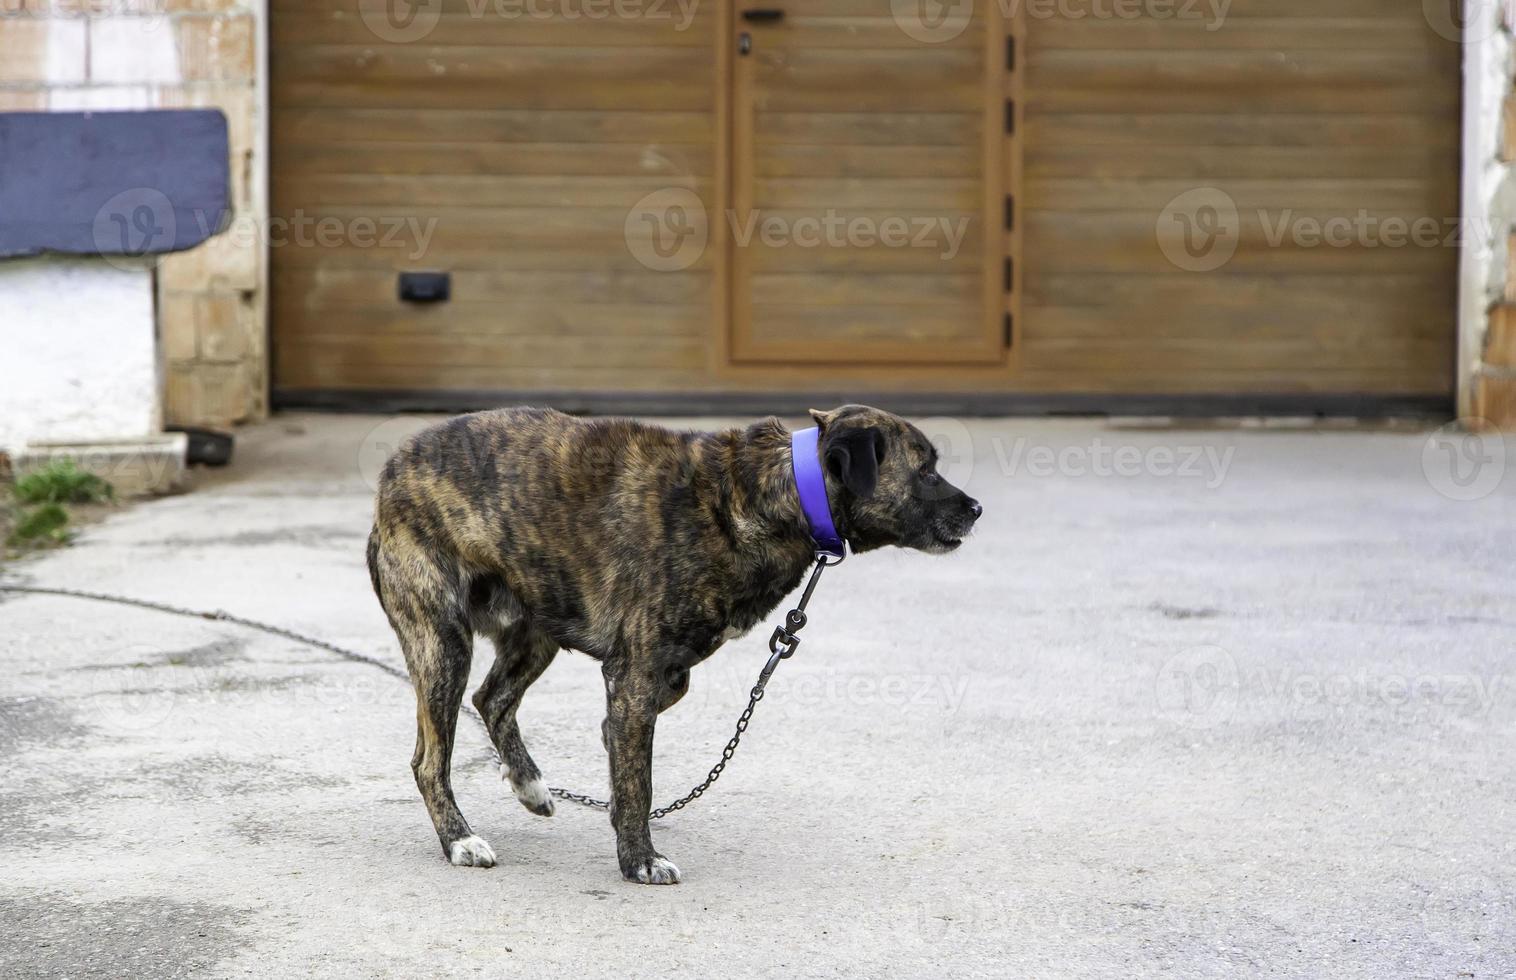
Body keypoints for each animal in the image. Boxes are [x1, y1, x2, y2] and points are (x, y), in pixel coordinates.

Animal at [366, 403, 982, 885]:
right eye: (925, 470)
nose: (977, 510)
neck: (772, 491)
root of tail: (390, 477)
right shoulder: (635, 673)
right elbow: (637, 775)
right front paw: (639, 857)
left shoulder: (660, 673)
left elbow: (624, 749)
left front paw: (617, 811)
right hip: (443, 642)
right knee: (429, 759)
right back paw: (459, 839)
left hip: (536, 627)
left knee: (491, 699)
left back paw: (529, 785)